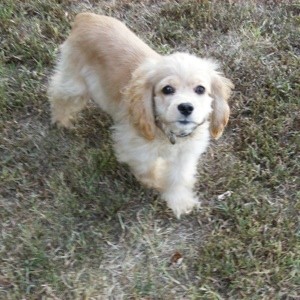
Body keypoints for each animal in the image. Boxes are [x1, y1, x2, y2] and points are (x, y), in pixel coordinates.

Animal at [48, 12, 233, 218]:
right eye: (167, 89)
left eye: (200, 89)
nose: (186, 107)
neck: (168, 133)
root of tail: (86, 17)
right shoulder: (134, 145)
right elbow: (147, 167)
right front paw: (157, 183)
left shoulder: (185, 154)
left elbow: (178, 176)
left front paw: (179, 201)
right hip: (75, 84)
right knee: (57, 93)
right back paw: (62, 121)